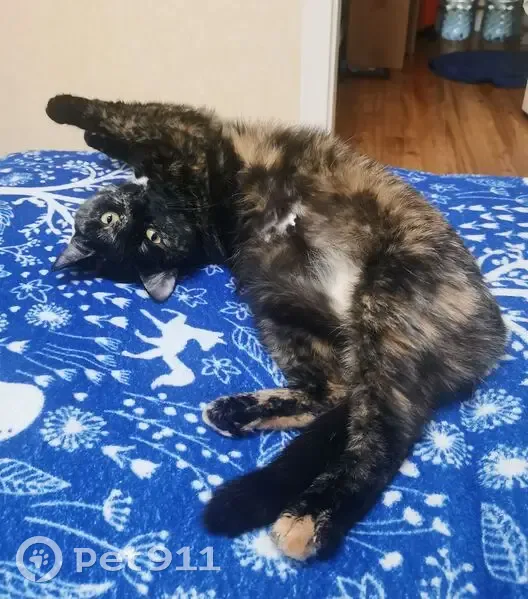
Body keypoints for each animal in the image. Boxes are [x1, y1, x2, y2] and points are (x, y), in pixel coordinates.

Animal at [46, 94, 507, 560]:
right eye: (120, 226)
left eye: (147, 235)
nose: (137, 216)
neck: (191, 215)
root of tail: (488, 341)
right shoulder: (186, 137)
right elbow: (125, 118)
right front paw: (78, 120)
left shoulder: (187, 134)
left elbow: (119, 121)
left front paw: (67, 113)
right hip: (284, 314)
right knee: (349, 405)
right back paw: (253, 440)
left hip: (379, 306)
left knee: (381, 427)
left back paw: (305, 510)